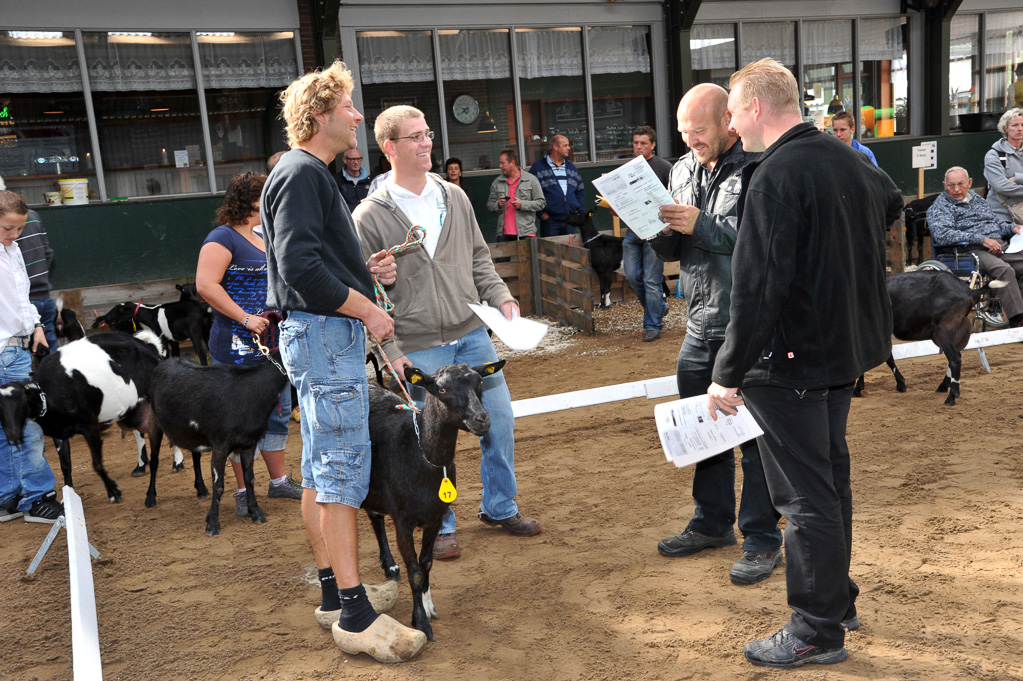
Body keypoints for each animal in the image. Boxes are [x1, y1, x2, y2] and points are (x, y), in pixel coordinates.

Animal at [0, 331, 163, 501]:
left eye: (23, 400)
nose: (12, 434)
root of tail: (148, 345)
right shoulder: (59, 434)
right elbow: (65, 465)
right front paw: (69, 495)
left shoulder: (89, 426)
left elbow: (96, 463)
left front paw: (113, 492)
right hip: (133, 407)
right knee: (139, 430)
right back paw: (141, 466)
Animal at [143, 345, 292, 531]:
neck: (251, 394)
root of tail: (164, 362)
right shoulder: (221, 445)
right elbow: (219, 485)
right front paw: (213, 523)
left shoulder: (248, 444)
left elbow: (249, 479)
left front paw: (256, 512)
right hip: (154, 422)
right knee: (154, 461)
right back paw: (150, 498)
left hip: (192, 433)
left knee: (196, 456)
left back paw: (201, 489)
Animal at [364, 357, 503, 638]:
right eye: (442, 389)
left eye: (480, 383)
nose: (482, 420)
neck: (422, 454)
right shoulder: (403, 522)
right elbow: (415, 571)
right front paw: (421, 623)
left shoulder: (436, 518)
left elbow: (426, 563)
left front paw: (428, 606)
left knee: (375, 517)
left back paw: (390, 565)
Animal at [851, 265, 1002, 402]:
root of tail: (970, 292)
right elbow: (887, 357)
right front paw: (900, 384)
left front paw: (858, 388)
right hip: (956, 330)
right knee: (957, 355)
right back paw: (943, 386)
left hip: (944, 331)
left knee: (955, 360)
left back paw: (952, 396)